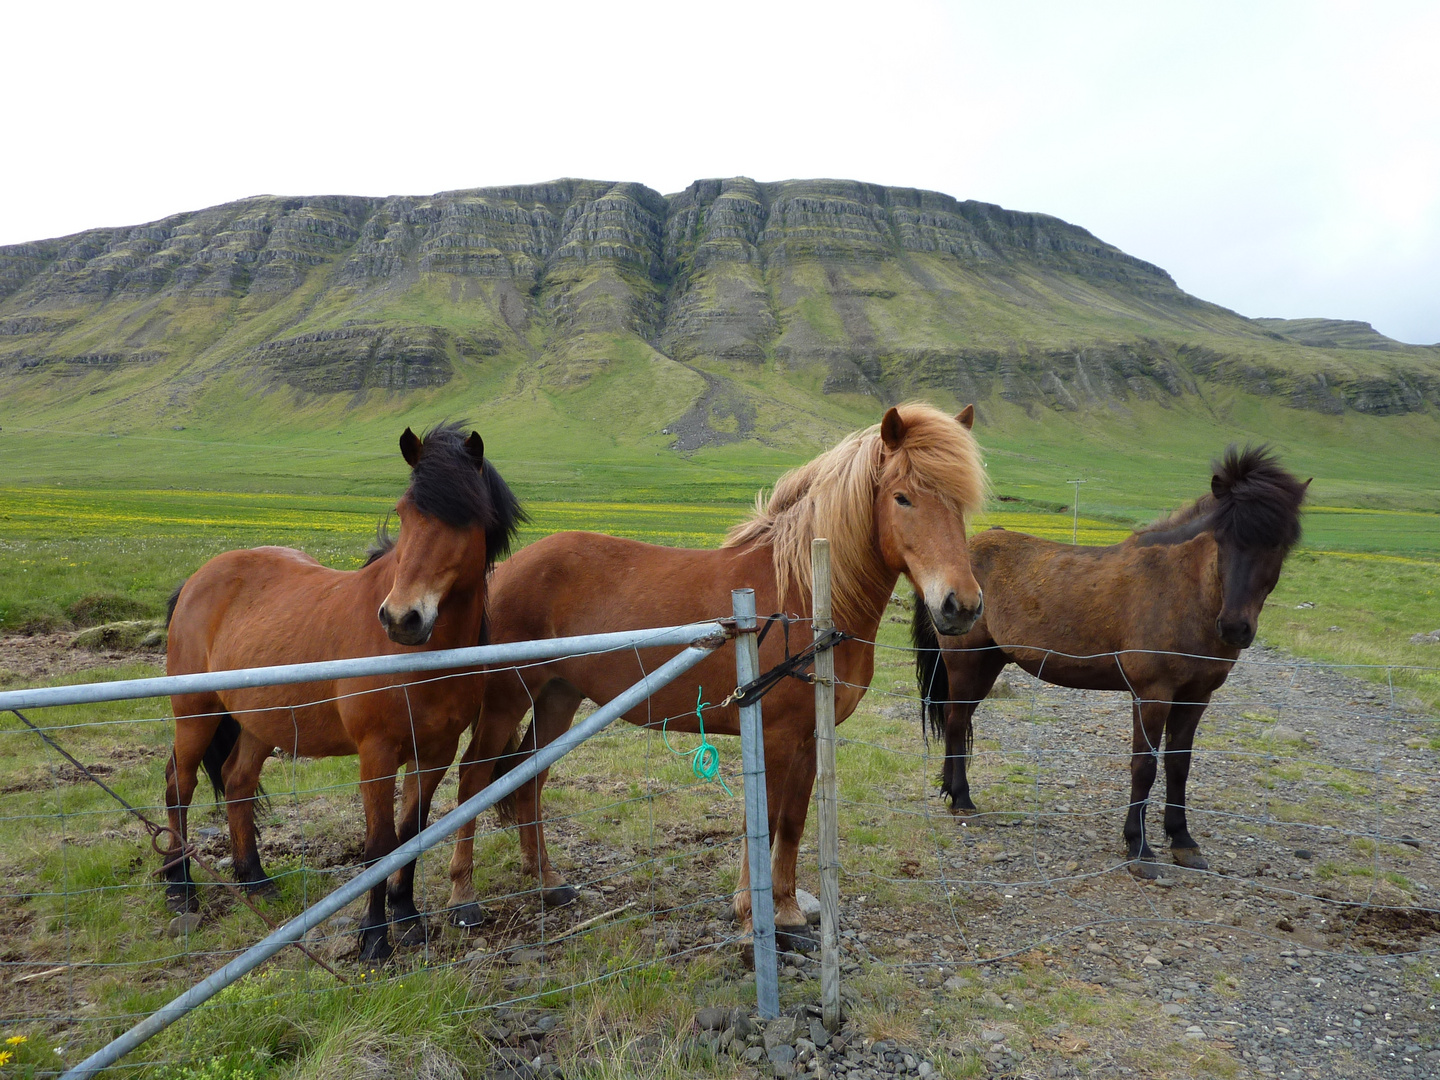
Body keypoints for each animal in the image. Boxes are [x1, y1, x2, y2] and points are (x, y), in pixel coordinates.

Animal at [164, 426, 524, 961]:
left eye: (468, 518)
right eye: (404, 512)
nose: (402, 618)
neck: (415, 657)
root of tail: (197, 578)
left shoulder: (433, 753)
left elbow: (410, 835)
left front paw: (407, 918)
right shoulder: (376, 754)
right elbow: (378, 845)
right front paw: (374, 938)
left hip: (261, 722)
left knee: (237, 781)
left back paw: (256, 881)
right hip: (195, 715)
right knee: (179, 786)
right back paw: (179, 888)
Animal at [915, 449, 1313, 881]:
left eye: (1279, 544)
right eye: (1223, 539)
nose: (1236, 627)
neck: (1181, 590)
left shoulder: (1196, 697)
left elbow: (1179, 765)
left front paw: (1183, 841)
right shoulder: (1152, 695)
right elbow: (1145, 767)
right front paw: (1138, 848)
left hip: (990, 664)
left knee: (959, 720)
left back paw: (954, 793)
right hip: (966, 664)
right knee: (956, 722)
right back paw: (962, 800)